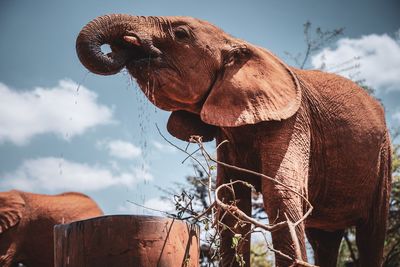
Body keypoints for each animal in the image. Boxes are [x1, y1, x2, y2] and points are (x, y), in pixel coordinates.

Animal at [75, 14, 390, 267]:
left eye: (181, 33)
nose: (127, 44)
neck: (237, 41)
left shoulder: (294, 120)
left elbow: (280, 191)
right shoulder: (227, 132)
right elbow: (230, 202)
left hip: (383, 157)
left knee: (372, 232)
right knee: (324, 239)